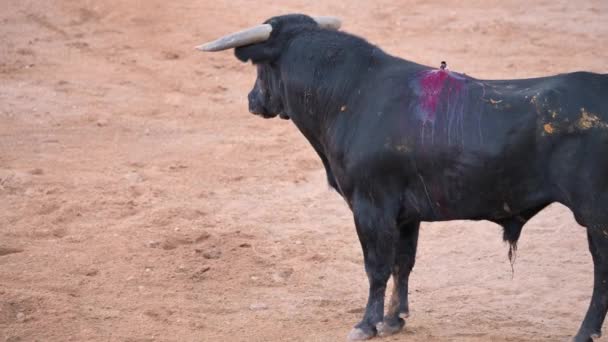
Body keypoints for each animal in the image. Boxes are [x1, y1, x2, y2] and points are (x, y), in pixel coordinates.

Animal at [210, 14, 608, 340]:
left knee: (601, 271)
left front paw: (366, 325)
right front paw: (394, 319)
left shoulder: (371, 207)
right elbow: (403, 262)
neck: (350, 94)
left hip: (596, 218)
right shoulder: (406, 214)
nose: (252, 100)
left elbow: (376, 266)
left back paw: (583, 333)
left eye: (261, 67)